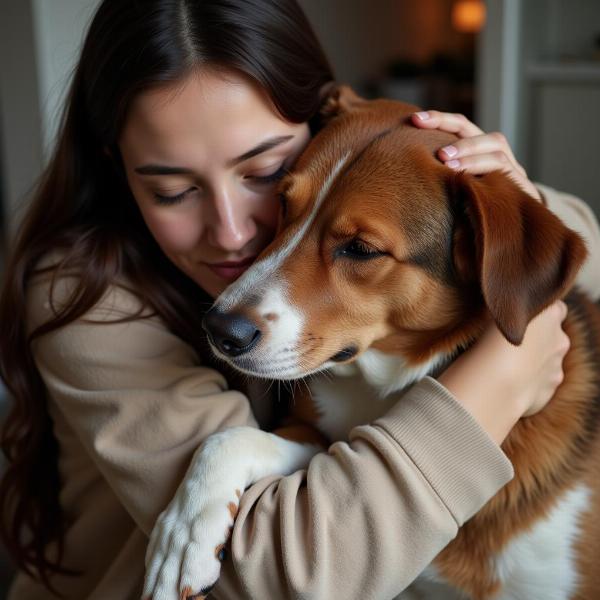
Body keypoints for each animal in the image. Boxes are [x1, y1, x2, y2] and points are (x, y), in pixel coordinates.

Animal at [145, 85, 600, 600]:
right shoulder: (318, 439)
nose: (219, 329)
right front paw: (185, 530)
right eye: (282, 203)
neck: (383, 387)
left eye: (361, 249)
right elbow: (228, 438)